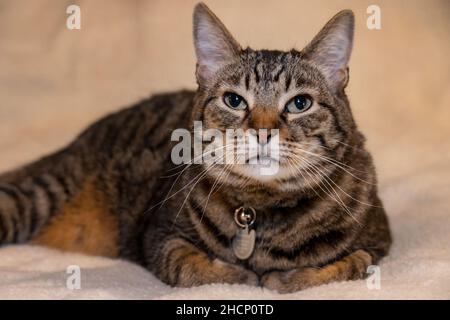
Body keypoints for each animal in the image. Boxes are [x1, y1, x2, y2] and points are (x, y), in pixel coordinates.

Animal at [0, 3, 390, 292]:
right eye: (234, 100)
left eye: (300, 104)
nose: (262, 132)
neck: (261, 214)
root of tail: (75, 142)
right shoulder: (160, 236)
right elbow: (189, 266)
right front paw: (244, 276)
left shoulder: (377, 243)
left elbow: (343, 266)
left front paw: (283, 278)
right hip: (39, 195)